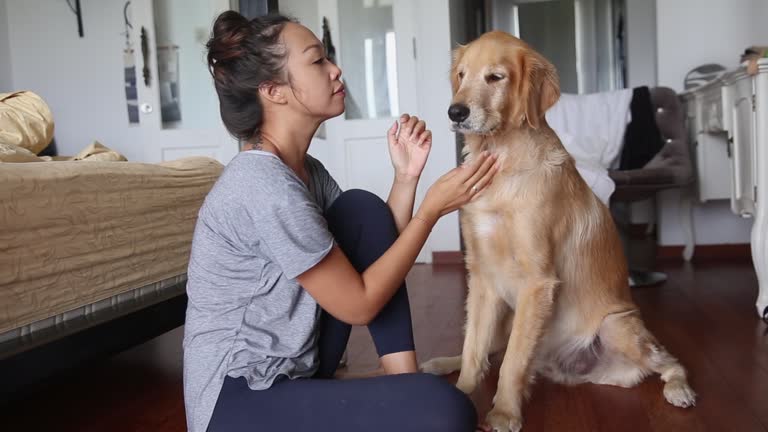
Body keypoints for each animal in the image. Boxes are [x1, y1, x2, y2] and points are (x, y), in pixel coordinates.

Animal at [420, 31, 696, 432]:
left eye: (495, 77)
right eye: (461, 75)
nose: (455, 112)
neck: (503, 161)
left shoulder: (538, 281)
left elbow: (512, 362)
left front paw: (503, 413)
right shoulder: (482, 277)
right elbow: (474, 349)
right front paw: (462, 394)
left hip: (616, 326)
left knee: (670, 362)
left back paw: (679, 388)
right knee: (486, 351)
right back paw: (440, 364)